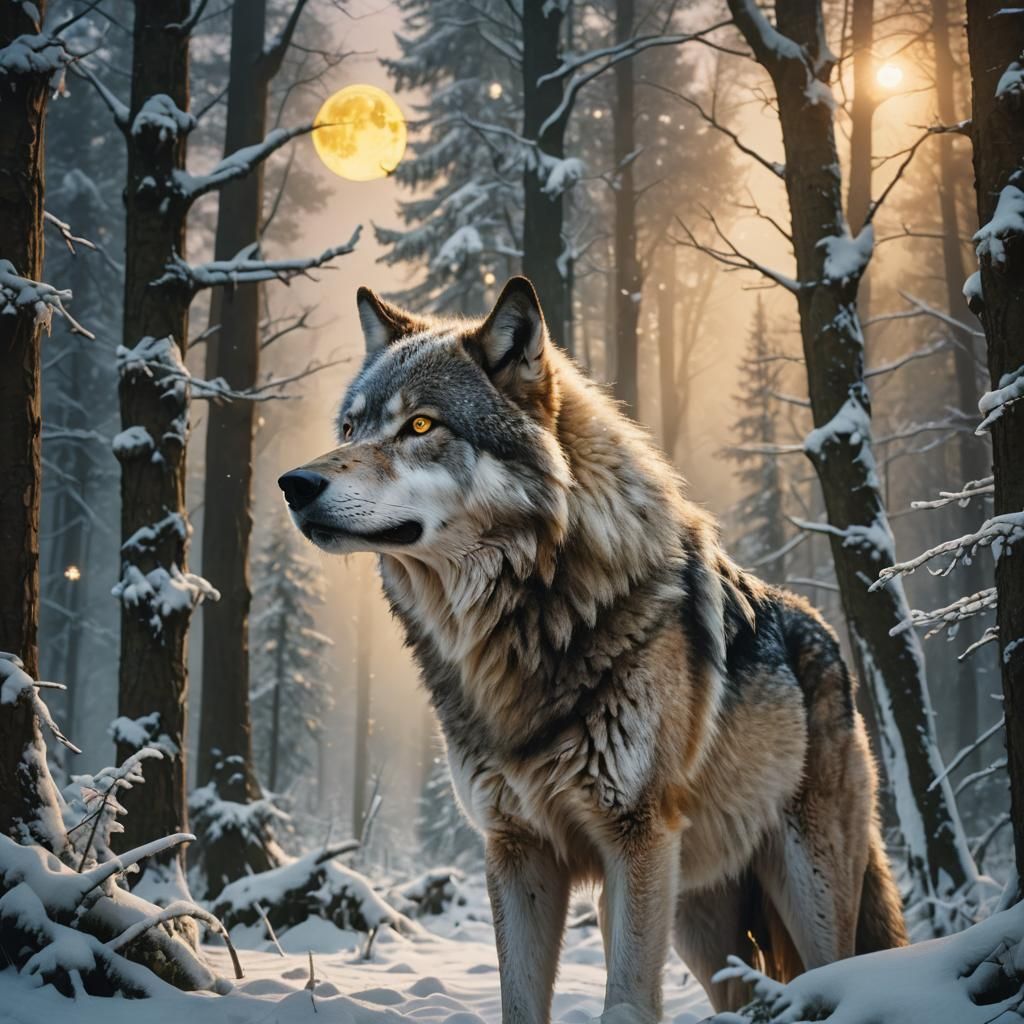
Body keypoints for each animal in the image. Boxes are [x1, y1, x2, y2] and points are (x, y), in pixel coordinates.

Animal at [279, 277, 908, 1022]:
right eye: (350, 429)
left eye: (421, 427)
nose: (293, 485)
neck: (527, 622)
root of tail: (829, 637)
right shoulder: (517, 849)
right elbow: (519, 1004)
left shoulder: (634, 838)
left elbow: (627, 1004)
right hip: (696, 921)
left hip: (800, 896)